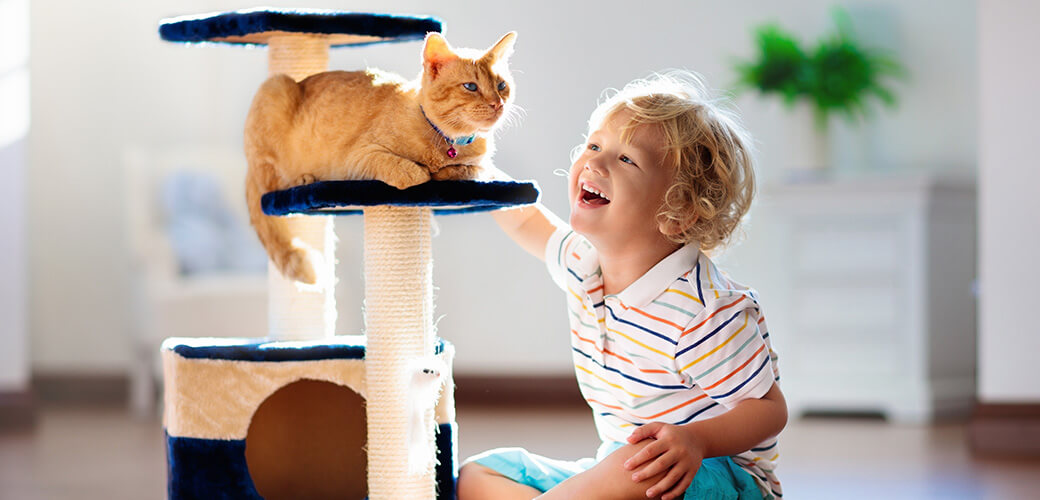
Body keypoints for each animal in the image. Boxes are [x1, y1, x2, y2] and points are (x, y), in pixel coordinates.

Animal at [244, 31, 520, 282]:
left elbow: (468, 170)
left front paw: (447, 172)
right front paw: (420, 172)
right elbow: (401, 167)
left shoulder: (482, 167)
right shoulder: (358, 157)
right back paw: (304, 179)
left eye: (501, 86)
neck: (447, 141)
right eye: (471, 86)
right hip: (275, 89)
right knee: (270, 183)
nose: (497, 104)